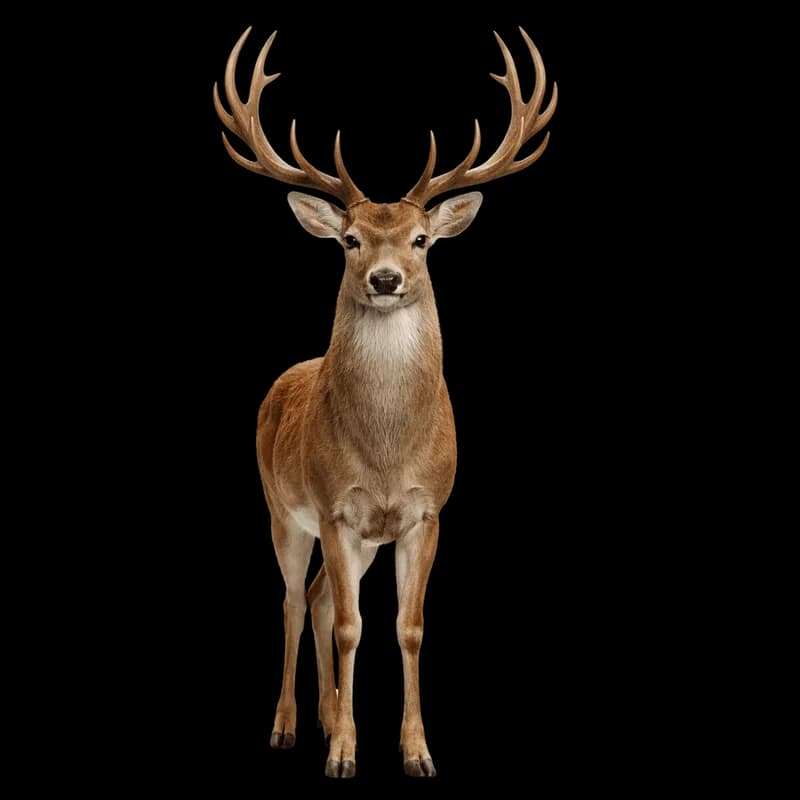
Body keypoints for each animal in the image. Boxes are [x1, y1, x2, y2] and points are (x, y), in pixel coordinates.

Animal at [213, 25, 557, 778]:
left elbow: (408, 627)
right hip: (280, 505)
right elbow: (351, 626)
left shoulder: (426, 511)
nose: (386, 277)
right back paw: (289, 726)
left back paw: (322, 715)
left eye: (422, 240)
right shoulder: (336, 508)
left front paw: (416, 751)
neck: (388, 452)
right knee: (294, 598)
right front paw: (344, 753)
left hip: (362, 538)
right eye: (350, 240)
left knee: (314, 597)